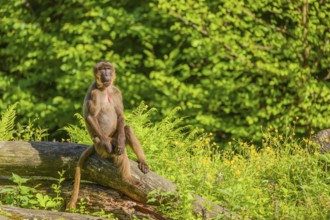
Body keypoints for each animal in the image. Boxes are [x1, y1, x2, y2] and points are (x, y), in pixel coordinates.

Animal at [66, 61, 149, 209]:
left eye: (108, 69)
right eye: (102, 69)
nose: (106, 74)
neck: (105, 89)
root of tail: (94, 144)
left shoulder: (116, 92)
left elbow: (120, 115)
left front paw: (122, 141)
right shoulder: (94, 92)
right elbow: (91, 117)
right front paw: (110, 145)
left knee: (126, 130)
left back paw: (141, 161)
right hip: (100, 146)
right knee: (117, 149)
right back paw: (127, 178)